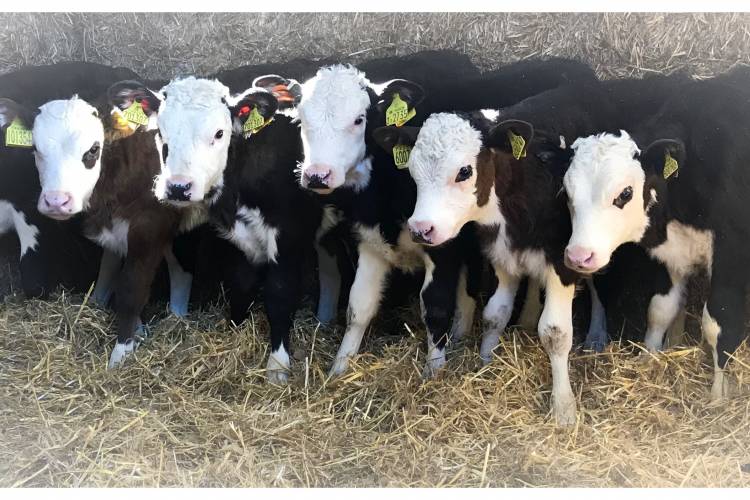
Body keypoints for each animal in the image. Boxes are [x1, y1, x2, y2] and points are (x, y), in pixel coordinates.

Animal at [293, 55, 597, 378]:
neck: (384, 190)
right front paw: (339, 367)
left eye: (358, 119)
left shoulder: (443, 249)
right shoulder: (370, 242)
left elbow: (436, 307)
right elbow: (358, 308)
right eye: (302, 120)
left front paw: (434, 371)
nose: (317, 175)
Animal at [563, 76, 750, 401]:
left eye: (625, 193)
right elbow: (659, 310)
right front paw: (648, 357)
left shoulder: (731, 259)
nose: (579, 256)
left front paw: (718, 394)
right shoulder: (670, 255)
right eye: (567, 193)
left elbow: (718, 323)